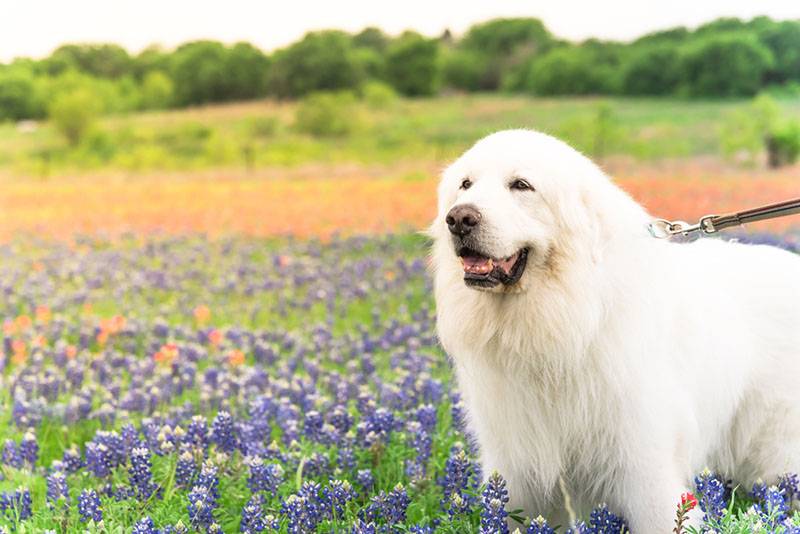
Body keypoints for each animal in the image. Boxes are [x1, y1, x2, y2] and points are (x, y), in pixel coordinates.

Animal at [432, 129, 800, 532]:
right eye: (465, 184)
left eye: (521, 185)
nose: (459, 218)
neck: (562, 319)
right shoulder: (517, 463)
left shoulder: (642, 461)